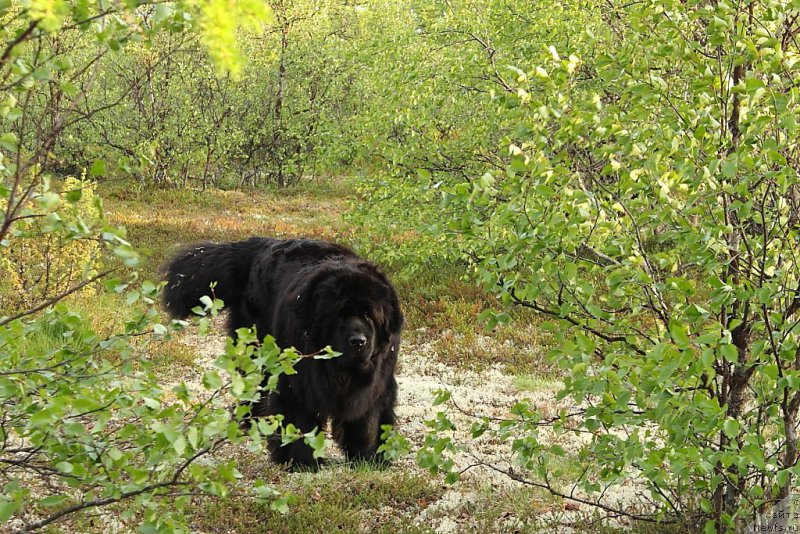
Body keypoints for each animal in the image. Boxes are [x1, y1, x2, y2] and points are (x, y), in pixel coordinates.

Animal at [160, 239, 404, 468]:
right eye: (339, 316)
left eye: (369, 316)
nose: (358, 341)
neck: (341, 372)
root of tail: (260, 245)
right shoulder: (298, 382)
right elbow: (299, 420)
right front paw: (301, 461)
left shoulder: (376, 385)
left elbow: (369, 423)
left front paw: (369, 457)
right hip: (257, 348)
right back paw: (250, 422)